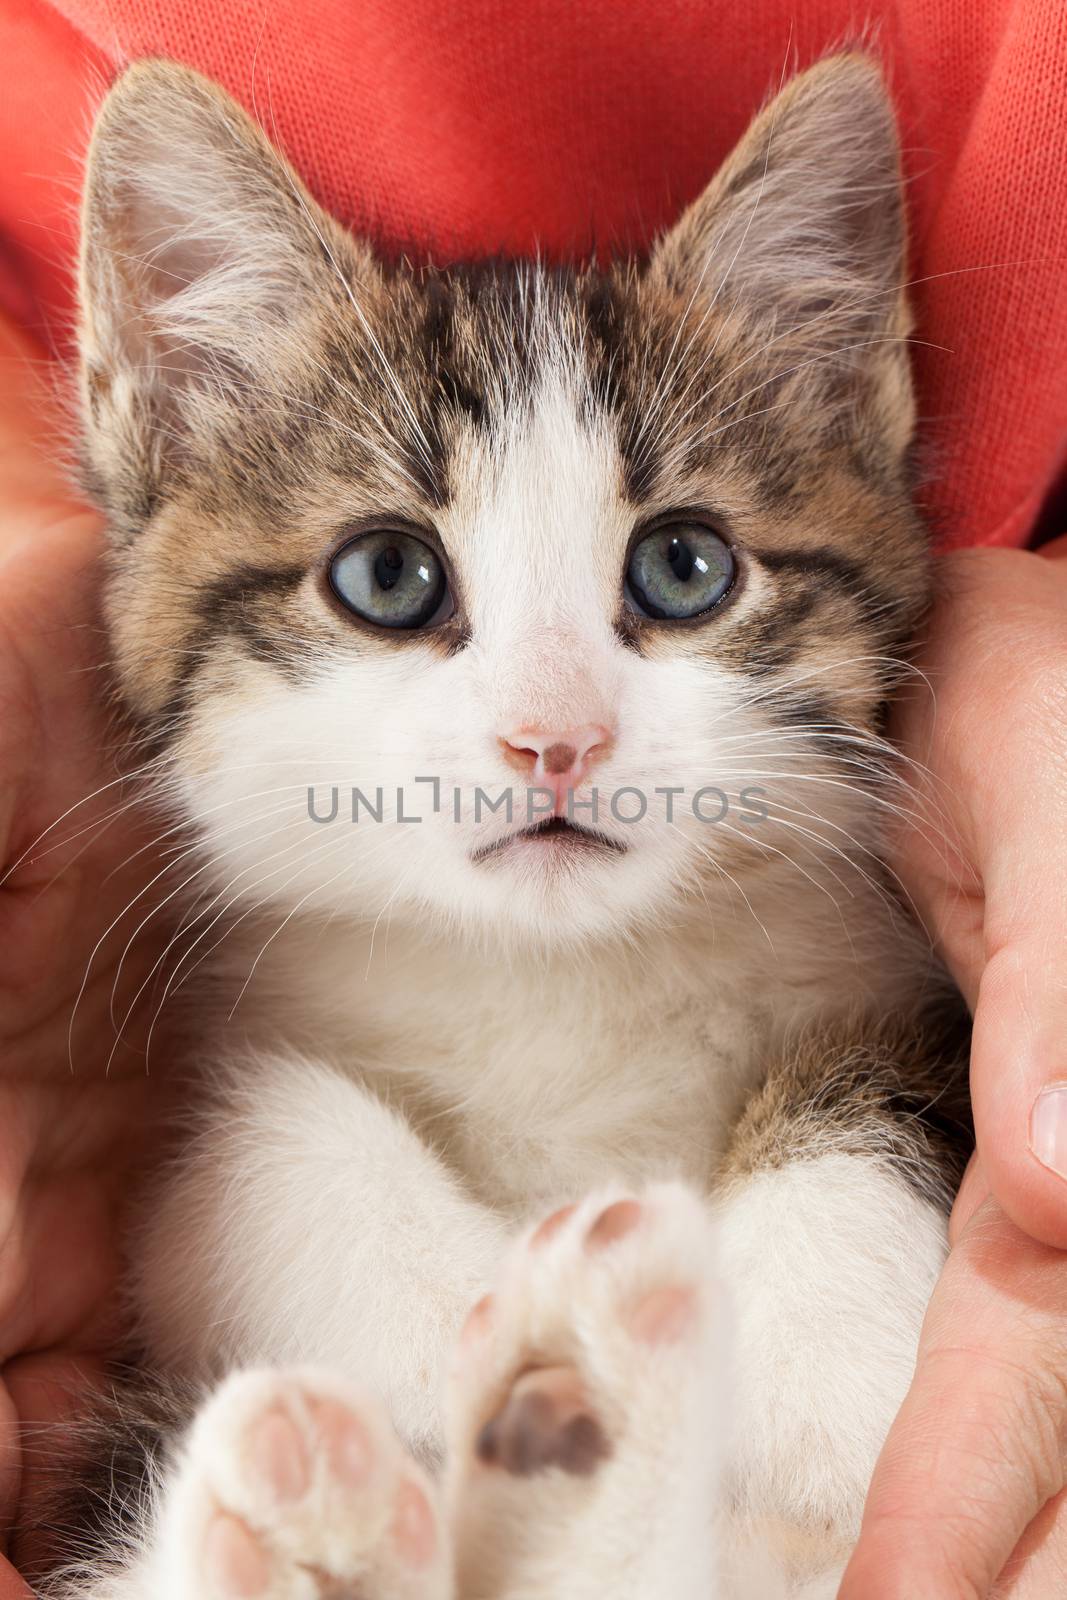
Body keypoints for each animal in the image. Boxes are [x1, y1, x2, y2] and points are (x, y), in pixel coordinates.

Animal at [60, 50, 979, 1600]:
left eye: (684, 568)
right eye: (386, 576)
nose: (556, 737)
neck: (560, 983)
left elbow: (896, 1076)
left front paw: (821, 1359)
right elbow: (238, 1139)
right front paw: (464, 1321)